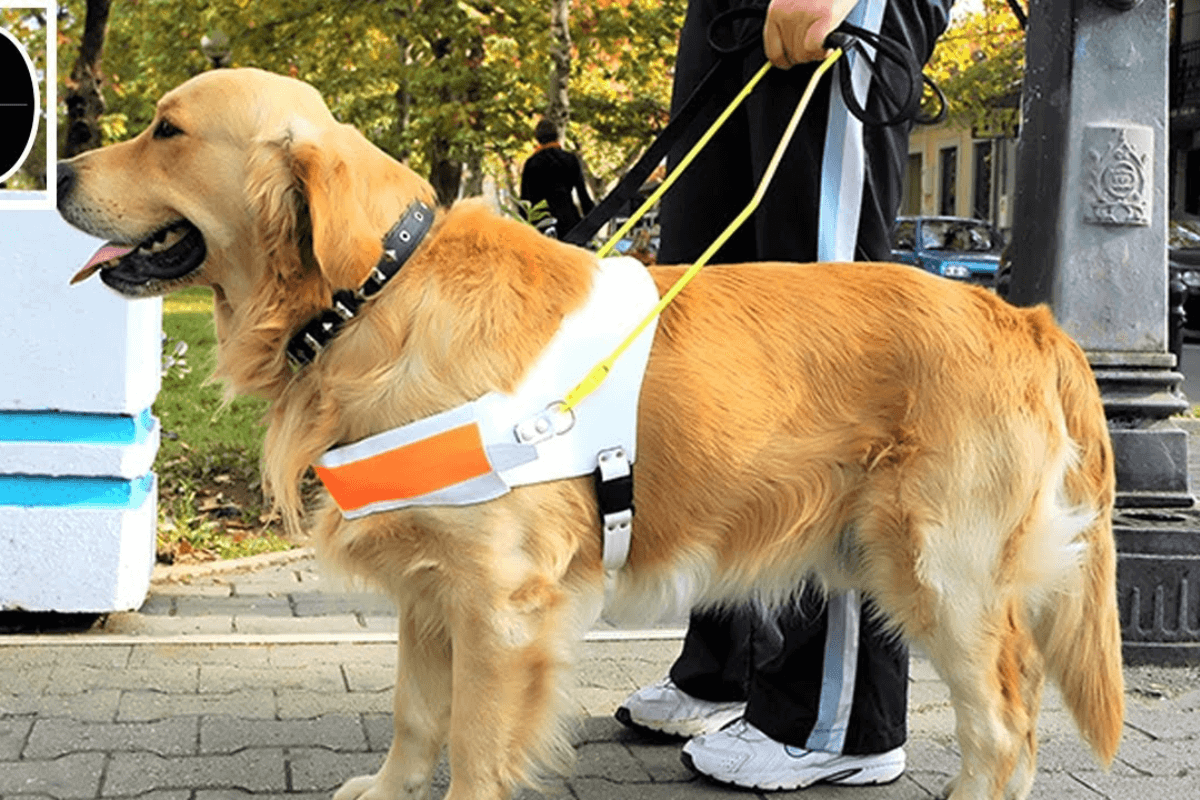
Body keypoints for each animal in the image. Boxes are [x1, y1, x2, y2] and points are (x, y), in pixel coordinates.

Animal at [56, 70, 1123, 800]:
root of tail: (1022, 315)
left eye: (166, 129)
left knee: (1008, 725)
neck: (374, 297)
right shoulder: (430, 582)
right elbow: (414, 711)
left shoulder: (502, 603)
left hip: (942, 569)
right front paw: (391, 787)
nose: (57, 168)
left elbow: (475, 743)